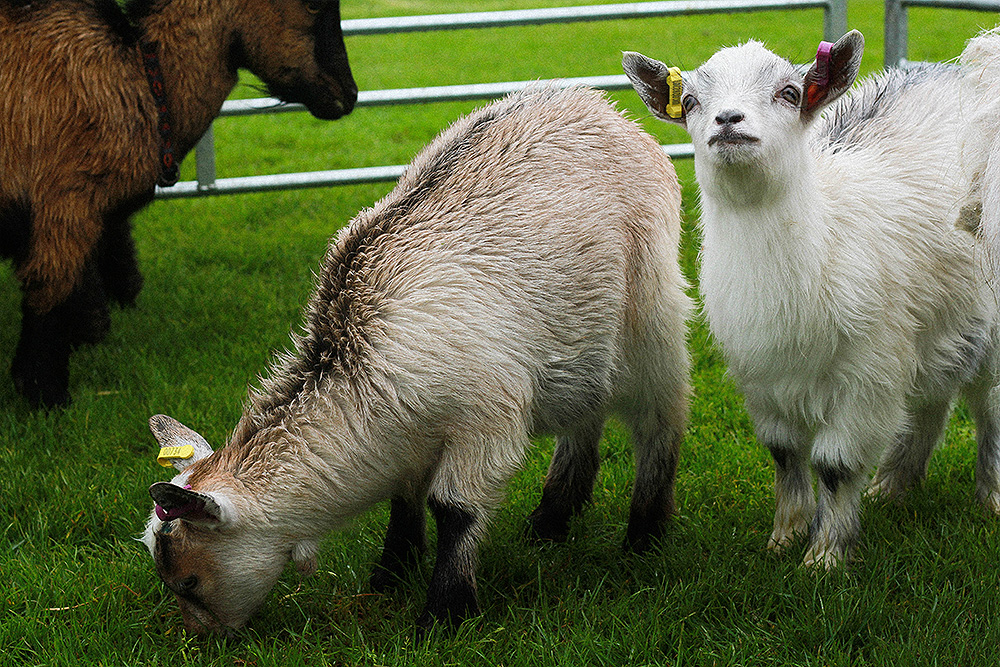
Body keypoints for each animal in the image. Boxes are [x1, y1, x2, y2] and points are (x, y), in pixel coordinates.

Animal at [0, 0, 358, 408]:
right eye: (313, 5)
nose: (349, 94)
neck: (140, 76)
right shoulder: (64, 207)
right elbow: (50, 298)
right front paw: (47, 396)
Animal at [141, 86, 692, 636]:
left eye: (189, 581)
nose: (202, 639)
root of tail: (599, 106)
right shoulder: (413, 433)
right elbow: (404, 497)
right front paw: (391, 572)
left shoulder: (486, 418)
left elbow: (453, 508)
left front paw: (445, 611)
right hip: (580, 346)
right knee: (585, 417)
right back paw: (551, 520)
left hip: (652, 321)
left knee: (660, 417)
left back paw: (644, 533)